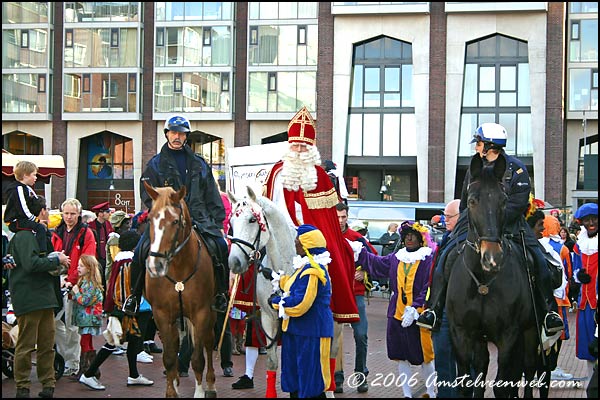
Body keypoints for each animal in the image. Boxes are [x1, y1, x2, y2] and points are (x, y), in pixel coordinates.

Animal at [142, 181, 217, 396]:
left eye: (175, 221)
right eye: (149, 218)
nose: (155, 266)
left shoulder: (201, 313)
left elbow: (198, 359)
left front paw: (200, 392)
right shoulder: (161, 314)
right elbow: (168, 357)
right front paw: (171, 391)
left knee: (209, 342)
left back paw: (211, 385)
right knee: (175, 345)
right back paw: (175, 380)